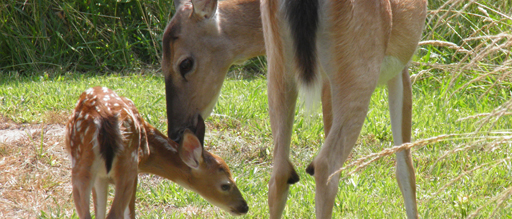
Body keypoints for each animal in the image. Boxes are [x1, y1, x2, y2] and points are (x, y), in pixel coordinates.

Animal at [65, 86, 249, 218]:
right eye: (225, 185)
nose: (244, 207)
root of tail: (103, 120)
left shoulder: (101, 177)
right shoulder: (135, 170)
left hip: (82, 164)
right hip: (127, 165)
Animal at [162, 0, 426, 217]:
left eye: (185, 64)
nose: (175, 132)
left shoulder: (326, 83)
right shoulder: (401, 65)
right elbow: (405, 166)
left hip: (279, 70)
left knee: (279, 173)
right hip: (358, 71)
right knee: (326, 166)